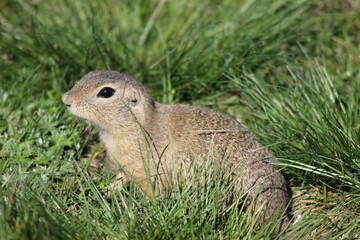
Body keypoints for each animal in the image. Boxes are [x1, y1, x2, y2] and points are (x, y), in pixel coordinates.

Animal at [63, 70, 292, 230]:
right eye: (87, 74)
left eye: (106, 92)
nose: (66, 99)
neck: (140, 125)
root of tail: (279, 213)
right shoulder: (125, 166)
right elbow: (119, 179)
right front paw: (101, 189)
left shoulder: (148, 172)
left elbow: (152, 195)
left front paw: (140, 212)